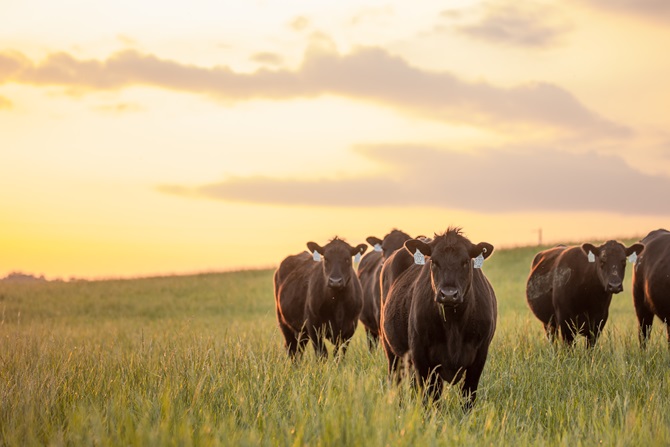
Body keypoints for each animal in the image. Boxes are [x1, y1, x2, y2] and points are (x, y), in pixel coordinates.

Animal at [380, 228, 496, 409]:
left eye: (465, 261)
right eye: (433, 261)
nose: (448, 294)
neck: (454, 325)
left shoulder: (480, 355)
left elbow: (468, 396)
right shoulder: (420, 354)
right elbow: (429, 396)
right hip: (391, 350)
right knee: (397, 381)